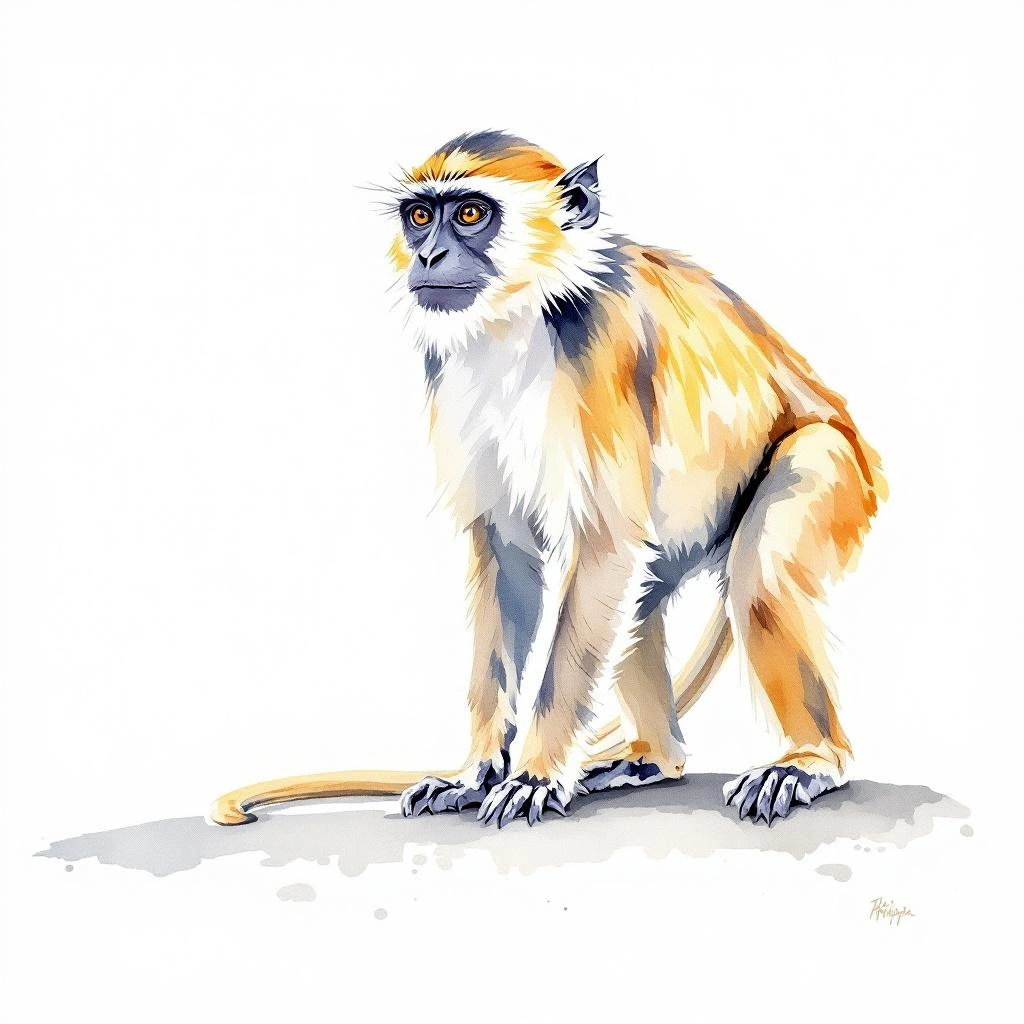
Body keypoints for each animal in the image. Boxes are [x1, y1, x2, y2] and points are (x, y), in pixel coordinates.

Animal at [210, 131, 885, 829]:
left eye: (470, 214)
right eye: (420, 215)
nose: (427, 254)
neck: (523, 310)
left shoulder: (606, 349)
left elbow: (605, 545)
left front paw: (533, 774)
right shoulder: (450, 368)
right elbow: (510, 559)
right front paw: (477, 770)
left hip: (838, 470)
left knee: (758, 576)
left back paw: (809, 760)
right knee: (639, 598)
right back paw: (652, 758)